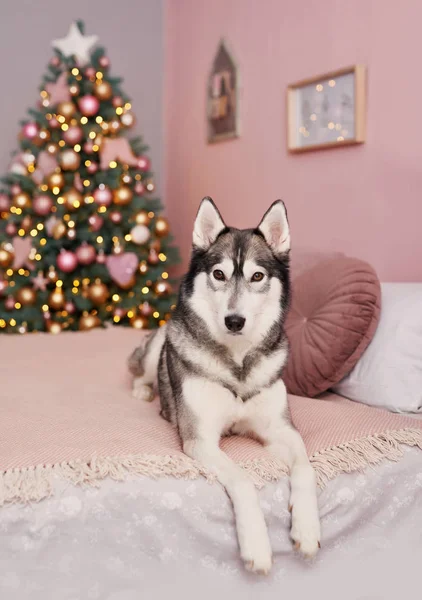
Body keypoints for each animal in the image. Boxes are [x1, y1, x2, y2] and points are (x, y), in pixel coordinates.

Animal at [129, 199, 320, 576]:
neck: (237, 364)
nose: (234, 321)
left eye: (257, 276)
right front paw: (257, 547)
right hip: (159, 341)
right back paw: (143, 392)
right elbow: (243, 478)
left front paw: (306, 530)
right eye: (218, 274)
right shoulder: (200, 440)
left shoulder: (281, 430)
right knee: (142, 371)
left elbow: (306, 468)